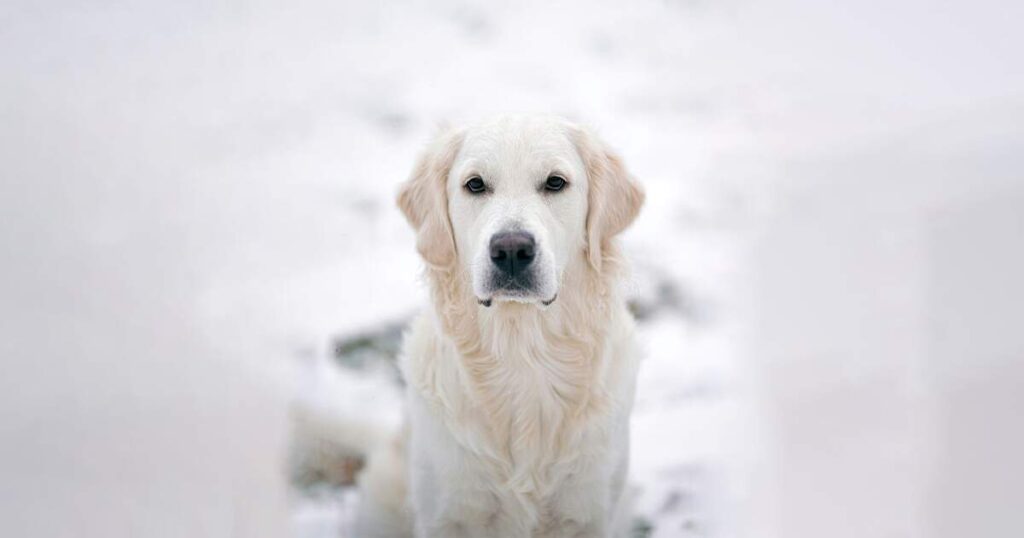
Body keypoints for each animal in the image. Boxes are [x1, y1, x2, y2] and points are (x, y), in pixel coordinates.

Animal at [356, 114, 643, 536]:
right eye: (475, 184)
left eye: (555, 182)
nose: (510, 249)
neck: (521, 350)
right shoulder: (447, 513)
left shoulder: (589, 512)